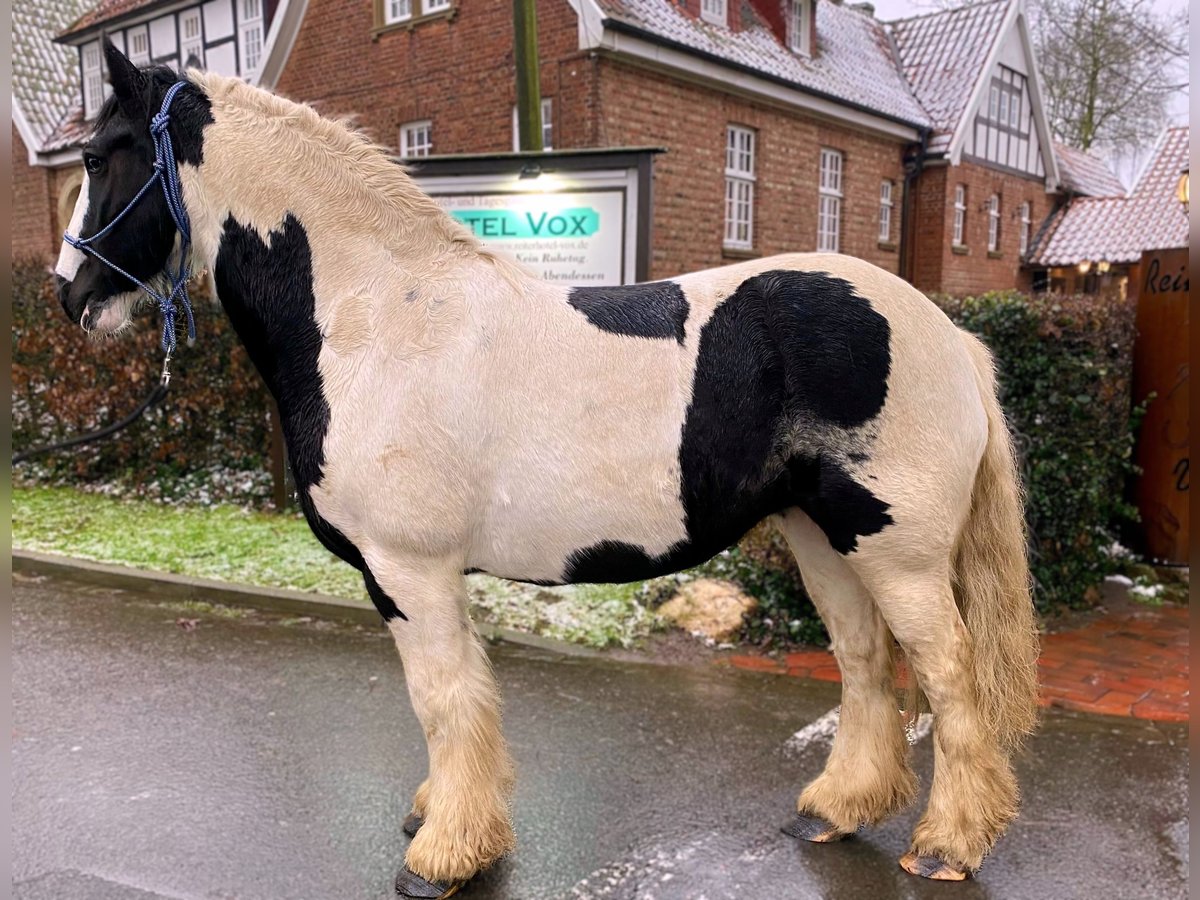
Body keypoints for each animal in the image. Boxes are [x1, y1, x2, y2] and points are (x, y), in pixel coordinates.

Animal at [56, 45, 1041, 897]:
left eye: (101, 155)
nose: (71, 296)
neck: (374, 318)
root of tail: (949, 336)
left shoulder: (408, 571)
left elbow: (443, 701)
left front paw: (443, 856)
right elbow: (459, 701)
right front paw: (445, 822)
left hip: (898, 554)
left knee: (950, 681)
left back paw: (947, 845)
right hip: (821, 537)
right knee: (866, 665)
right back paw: (836, 810)